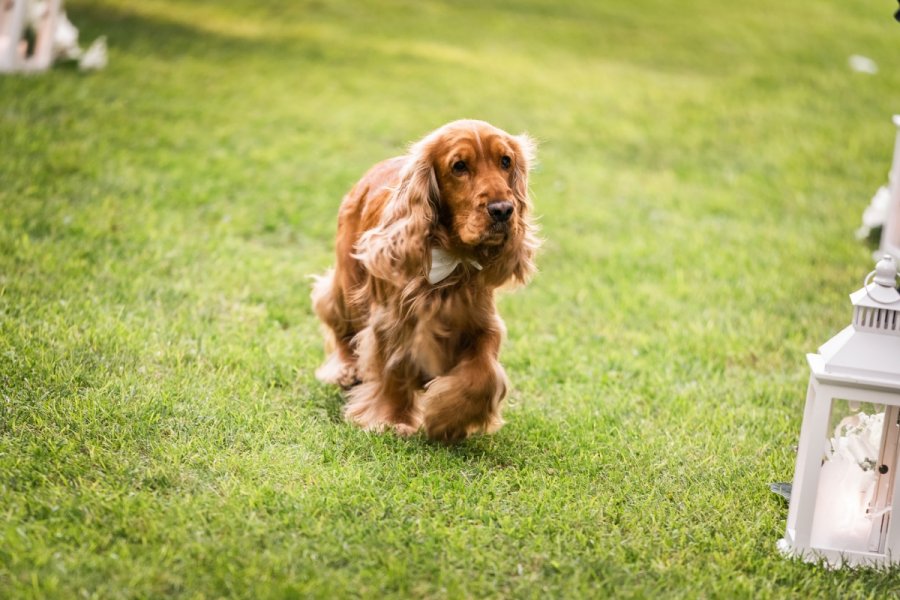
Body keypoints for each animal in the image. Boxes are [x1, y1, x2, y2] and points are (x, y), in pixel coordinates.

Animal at [314, 119, 540, 442]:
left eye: (505, 161)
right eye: (459, 166)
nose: (503, 210)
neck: (453, 261)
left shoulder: (481, 323)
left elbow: (482, 375)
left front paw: (447, 418)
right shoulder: (393, 323)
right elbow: (394, 369)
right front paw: (392, 420)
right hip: (348, 283)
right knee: (339, 323)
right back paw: (346, 369)